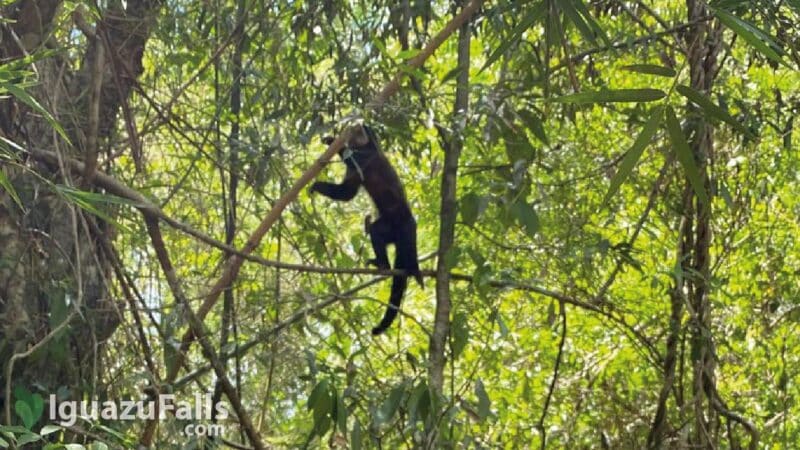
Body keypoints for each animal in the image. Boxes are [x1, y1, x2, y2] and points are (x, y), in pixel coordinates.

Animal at [309, 123, 423, 335]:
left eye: (360, 130)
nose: (356, 129)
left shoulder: (369, 155)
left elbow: (352, 159)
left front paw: (332, 141)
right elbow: (346, 193)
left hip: (406, 228)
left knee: (389, 235)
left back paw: (394, 266)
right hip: (392, 229)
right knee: (378, 232)